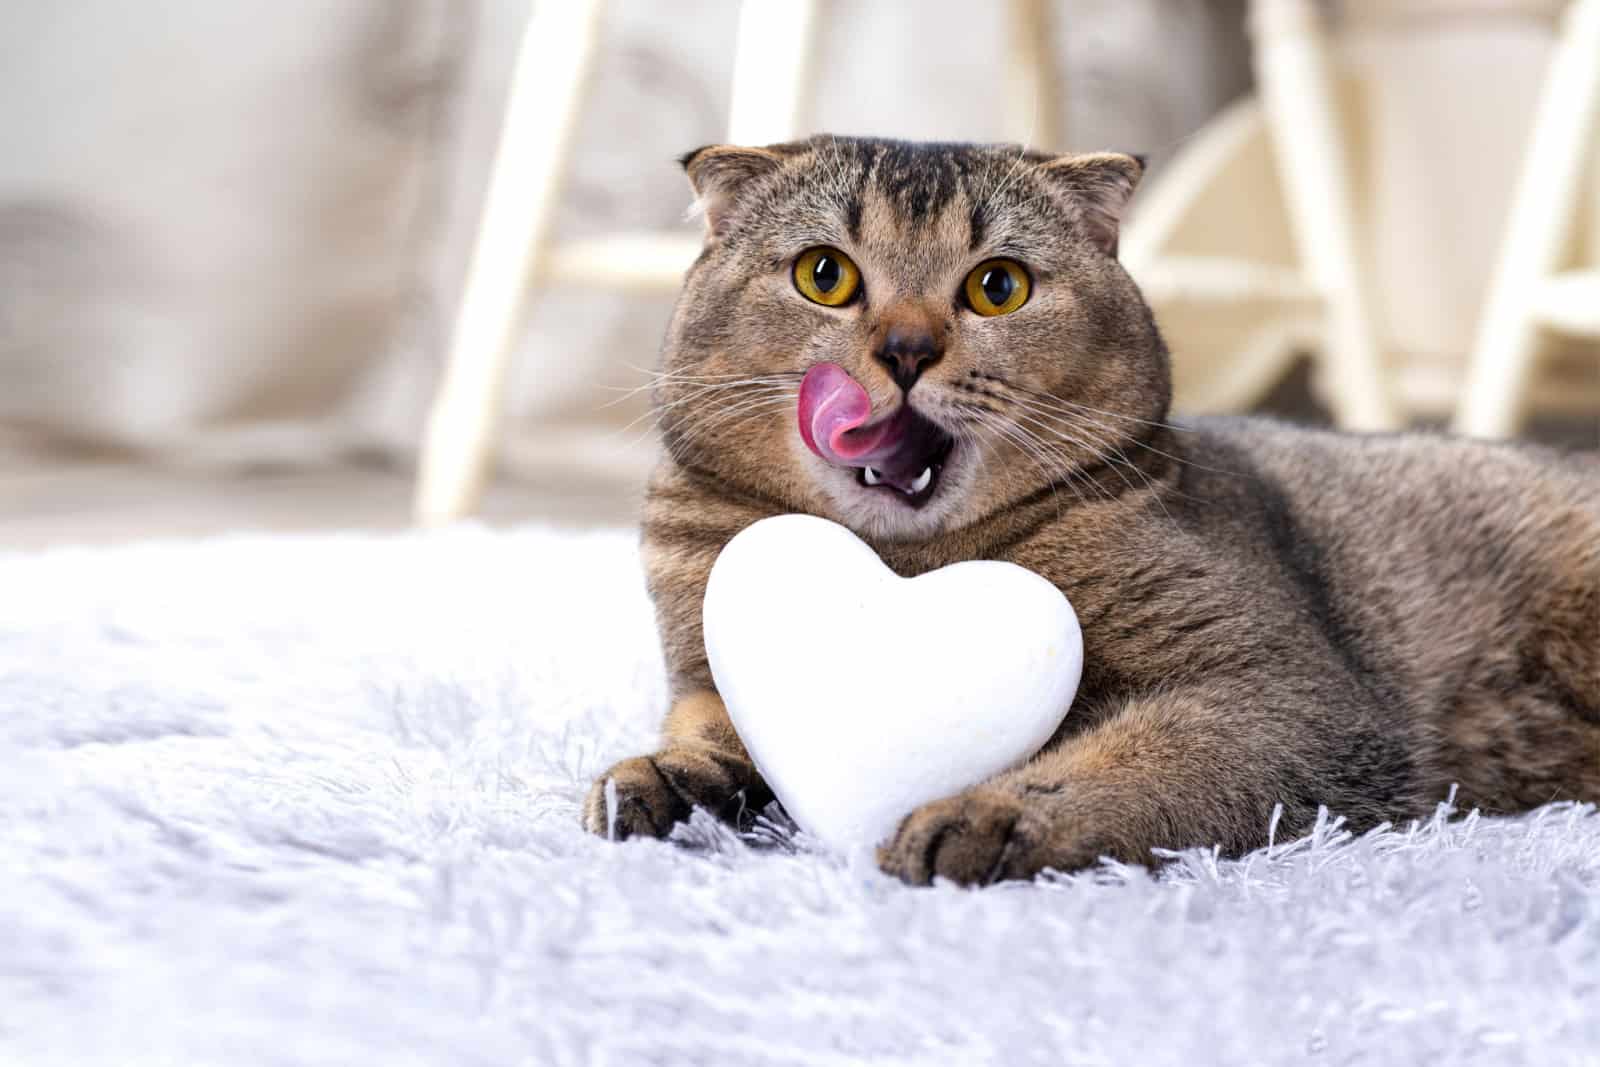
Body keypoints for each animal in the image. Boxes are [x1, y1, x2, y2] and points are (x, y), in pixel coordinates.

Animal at [585, 135, 1600, 883]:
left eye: (997, 286)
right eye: (824, 275)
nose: (907, 349)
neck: (910, 559)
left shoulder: (1289, 691)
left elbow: (1139, 757)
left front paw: (989, 812)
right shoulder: (708, 676)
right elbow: (703, 735)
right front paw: (660, 781)